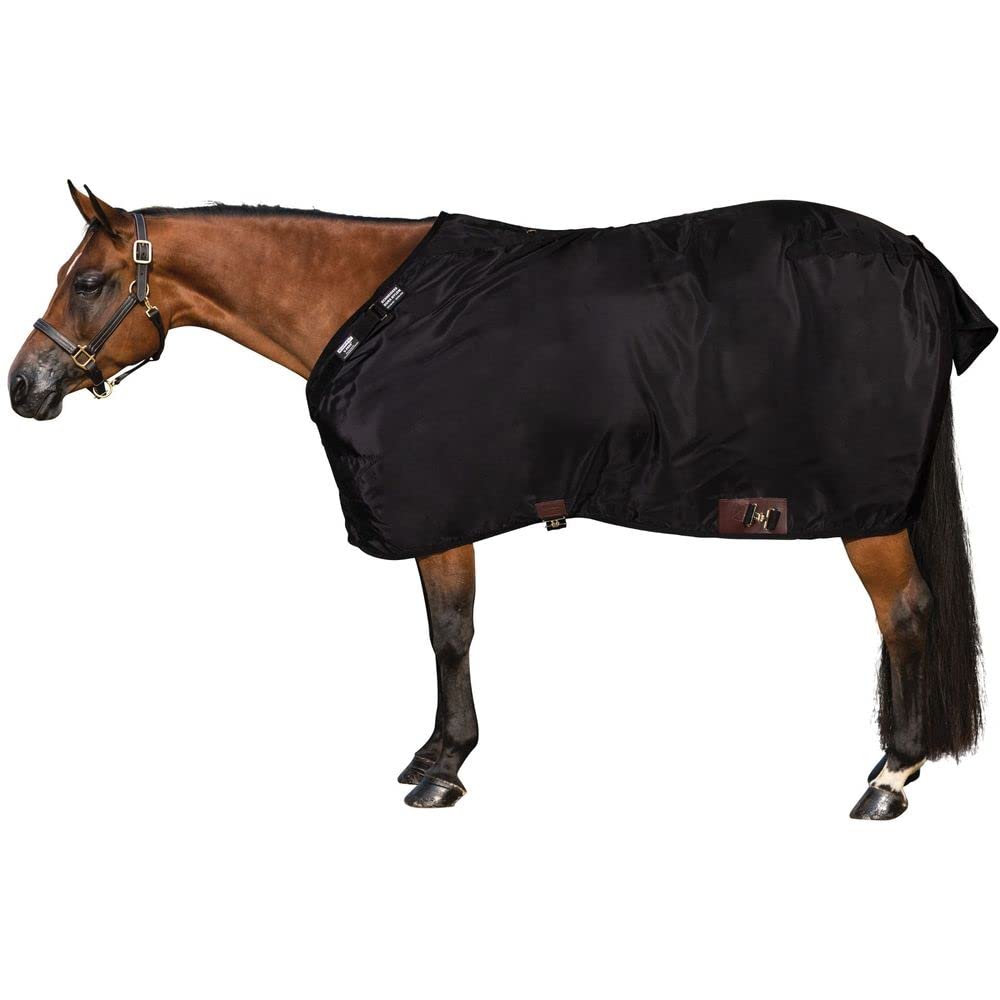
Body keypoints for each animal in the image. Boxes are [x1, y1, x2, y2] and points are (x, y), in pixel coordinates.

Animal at [9, 182, 995, 819]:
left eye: (88, 281)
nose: (23, 385)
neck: (374, 309)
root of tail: (917, 260)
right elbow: (448, 629)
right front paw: (437, 753)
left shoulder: (444, 514)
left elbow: (450, 631)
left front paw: (442, 767)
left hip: (868, 518)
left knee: (907, 613)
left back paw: (891, 778)